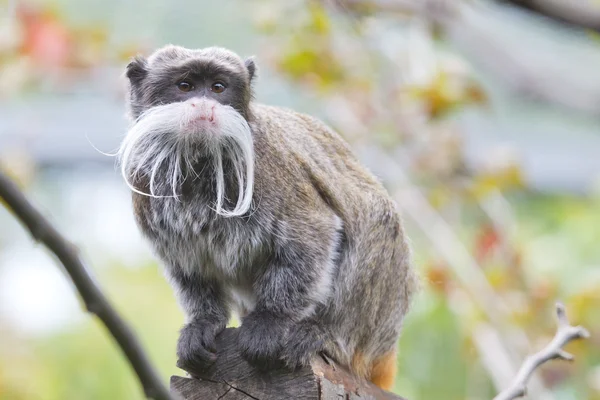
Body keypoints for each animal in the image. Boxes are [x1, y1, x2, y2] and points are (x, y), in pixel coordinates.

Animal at [119, 44, 414, 390]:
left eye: (218, 87)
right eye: (185, 86)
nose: (205, 105)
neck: (200, 163)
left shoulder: (269, 169)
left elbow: (314, 234)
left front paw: (271, 321)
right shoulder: (146, 188)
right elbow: (188, 268)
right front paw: (205, 321)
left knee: (376, 218)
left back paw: (327, 335)